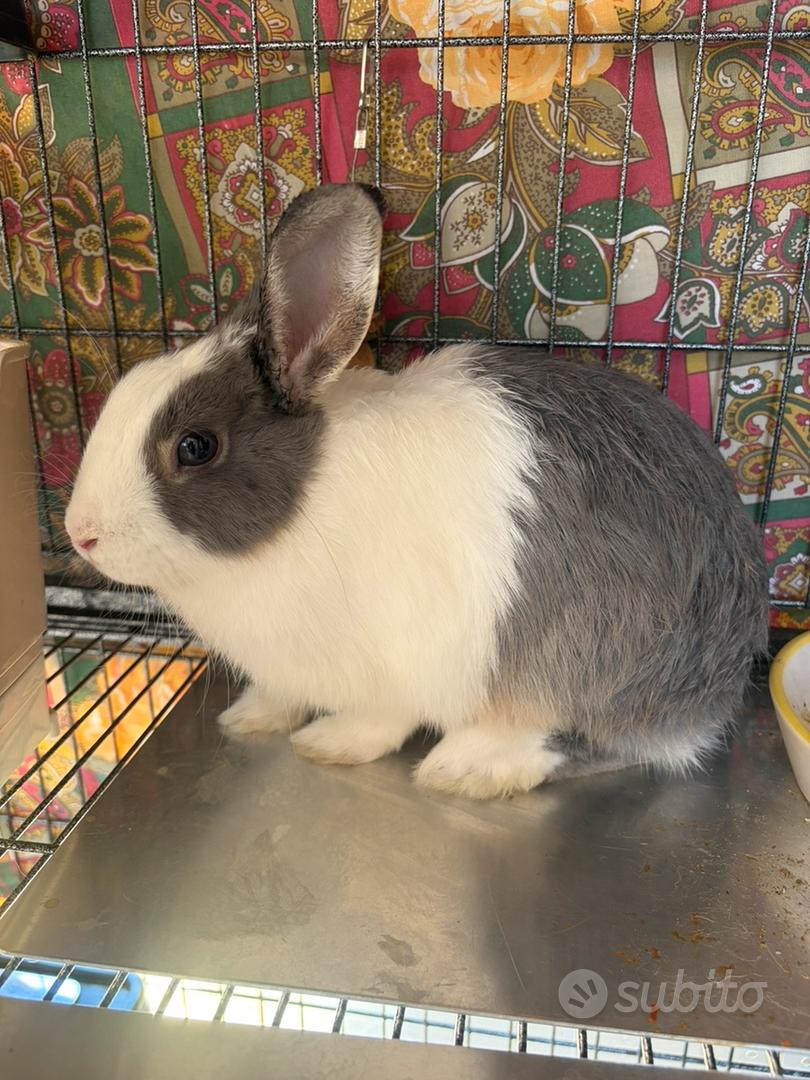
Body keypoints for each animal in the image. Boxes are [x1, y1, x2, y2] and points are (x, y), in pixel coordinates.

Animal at [65, 183, 768, 800]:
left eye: (195, 447)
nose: (81, 533)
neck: (296, 517)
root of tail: (729, 669)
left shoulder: (400, 666)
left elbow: (377, 723)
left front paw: (327, 743)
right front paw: (250, 718)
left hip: (597, 656)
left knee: (603, 742)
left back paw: (468, 767)